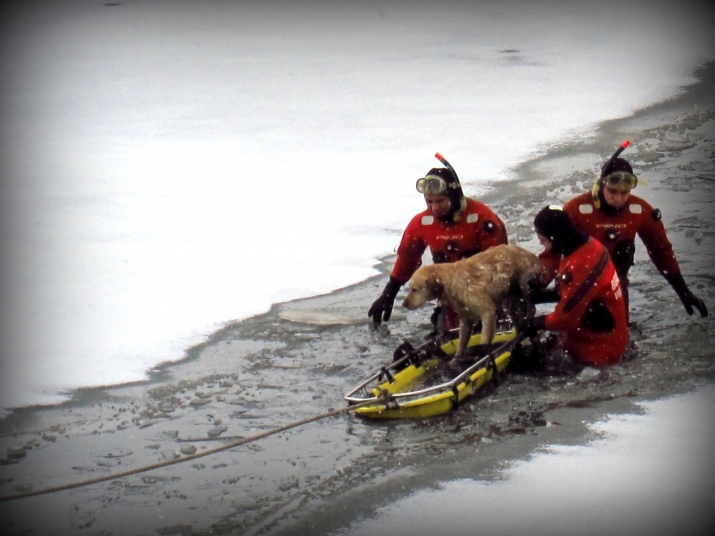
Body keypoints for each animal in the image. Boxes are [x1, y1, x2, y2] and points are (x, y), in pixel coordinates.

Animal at [402, 245, 544, 358]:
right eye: (410, 288)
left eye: (414, 289)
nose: (404, 304)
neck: (452, 281)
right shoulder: (465, 320)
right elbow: (461, 344)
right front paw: (456, 360)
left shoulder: (487, 312)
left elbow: (484, 340)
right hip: (510, 299)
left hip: (524, 282)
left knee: (531, 307)